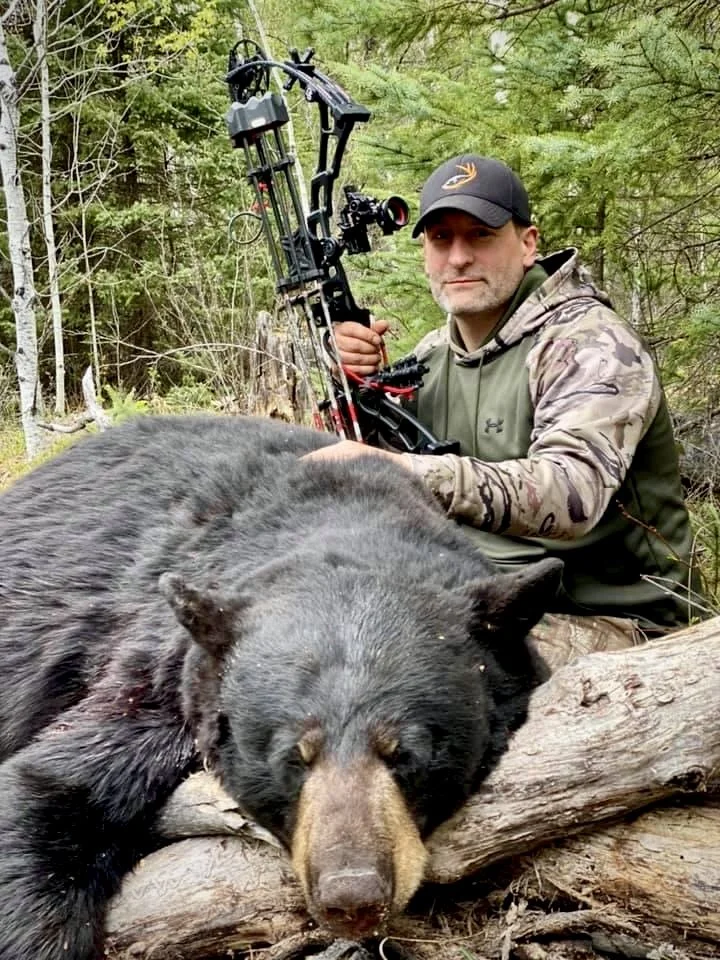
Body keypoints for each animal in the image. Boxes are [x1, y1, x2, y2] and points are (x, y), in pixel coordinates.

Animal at [0, 414, 561, 959]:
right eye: (293, 756)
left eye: (406, 754)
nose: (352, 897)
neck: (346, 523)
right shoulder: (160, 678)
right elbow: (50, 785)